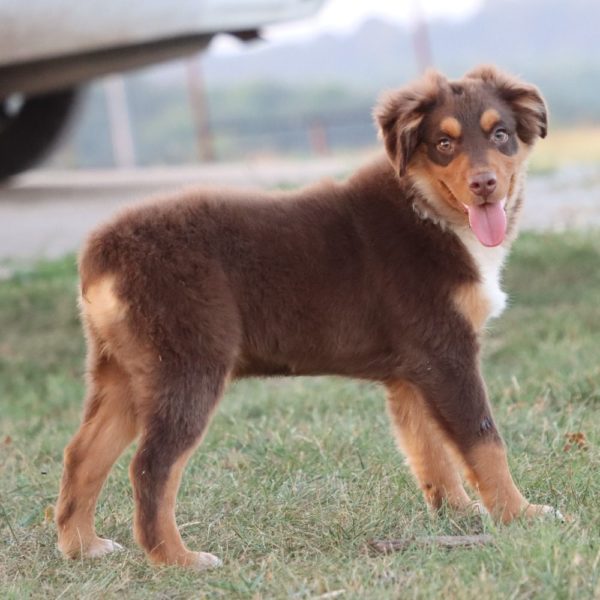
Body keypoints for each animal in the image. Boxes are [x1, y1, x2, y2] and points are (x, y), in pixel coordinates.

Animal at [55, 67, 556, 572]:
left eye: (500, 134)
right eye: (444, 143)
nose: (484, 184)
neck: (427, 209)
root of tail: (103, 252)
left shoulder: (413, 373)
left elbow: (428, 449)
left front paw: (457, 514)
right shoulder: (446, 354)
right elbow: (483, 439)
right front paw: (521, 514)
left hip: (125, 371)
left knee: (83, 453)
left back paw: (82, 546)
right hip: (187, 364)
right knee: (151, 466)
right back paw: (177, 559)